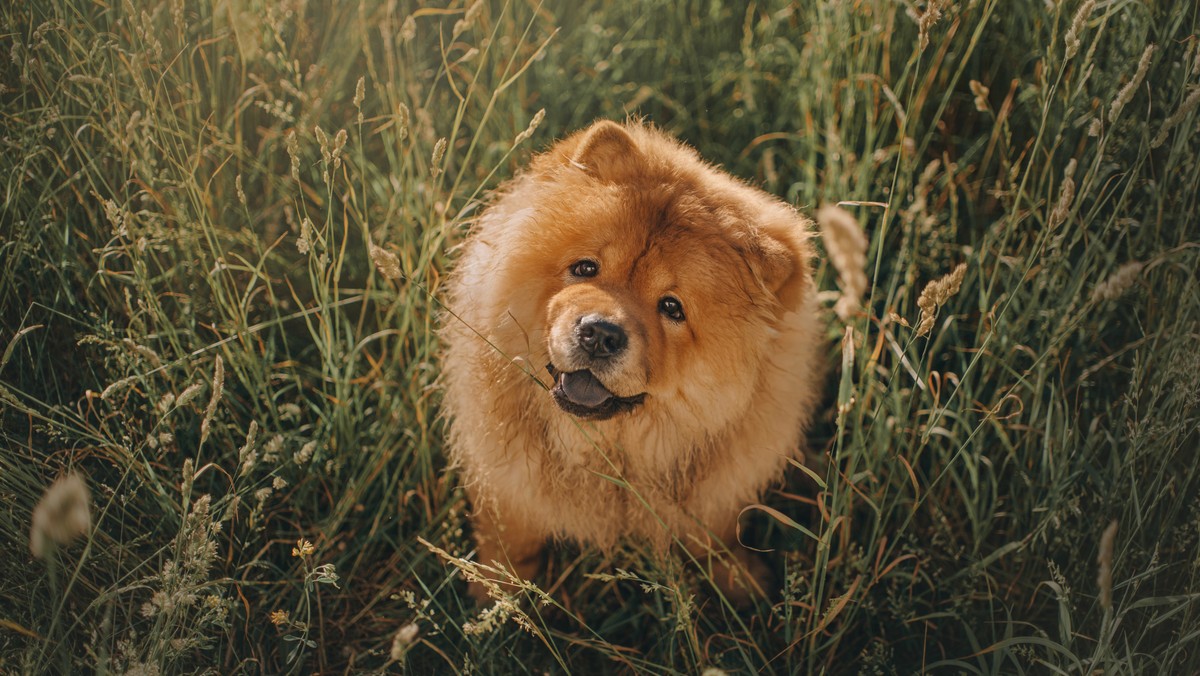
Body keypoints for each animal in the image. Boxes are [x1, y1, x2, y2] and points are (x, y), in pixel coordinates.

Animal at [441, 118, 825, 605]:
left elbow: (717, 536)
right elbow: (512, 539)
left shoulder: (718, 492)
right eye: (585, 268)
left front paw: (740, 582)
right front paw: (498, 594)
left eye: (672, 308)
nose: (600, 334)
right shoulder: (507, 484)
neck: (606, 455)